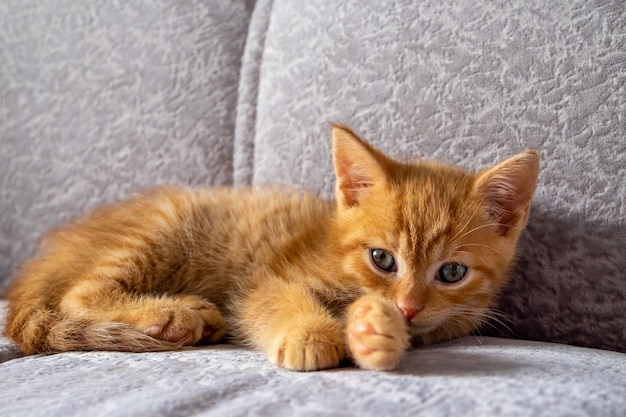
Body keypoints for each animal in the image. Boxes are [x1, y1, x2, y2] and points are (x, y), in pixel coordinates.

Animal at [2, 126, 536, 370]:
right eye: (382, 259)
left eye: (452, 273)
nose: (407, 307)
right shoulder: (268, 278)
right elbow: (275, 300)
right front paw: (311, 332)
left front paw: (377, 334)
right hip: (167, 222)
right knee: (79, 296)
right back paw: (175, 313)